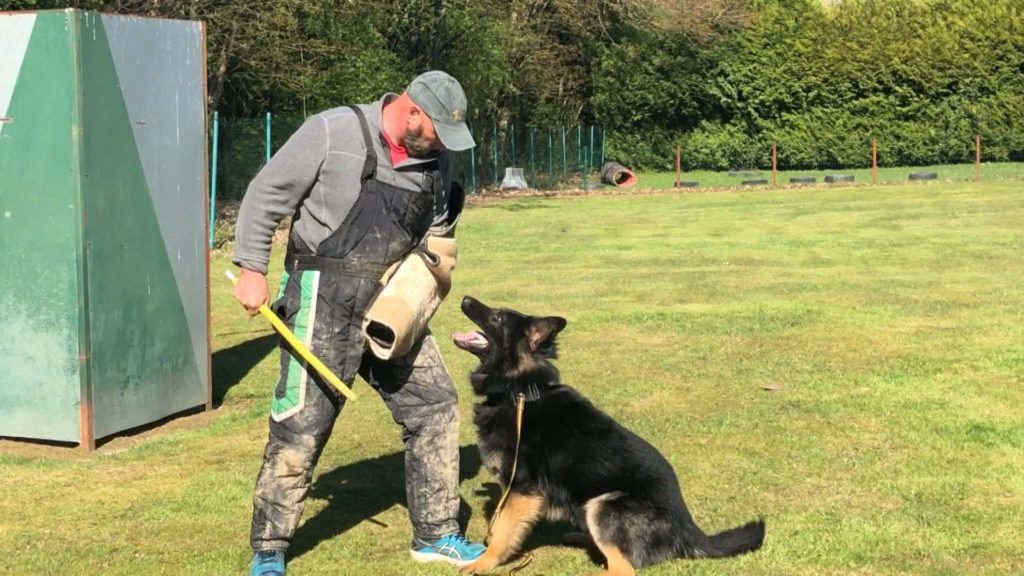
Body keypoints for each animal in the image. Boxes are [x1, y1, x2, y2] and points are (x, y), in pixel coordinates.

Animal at [452, 295, 765, 573]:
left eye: (498, 317)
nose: (465, 298)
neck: (520, 392)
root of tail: (688, 528)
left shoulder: (520, 489)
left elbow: (502, 530)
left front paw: (483, 562)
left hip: (605, 506)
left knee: (623, 568)